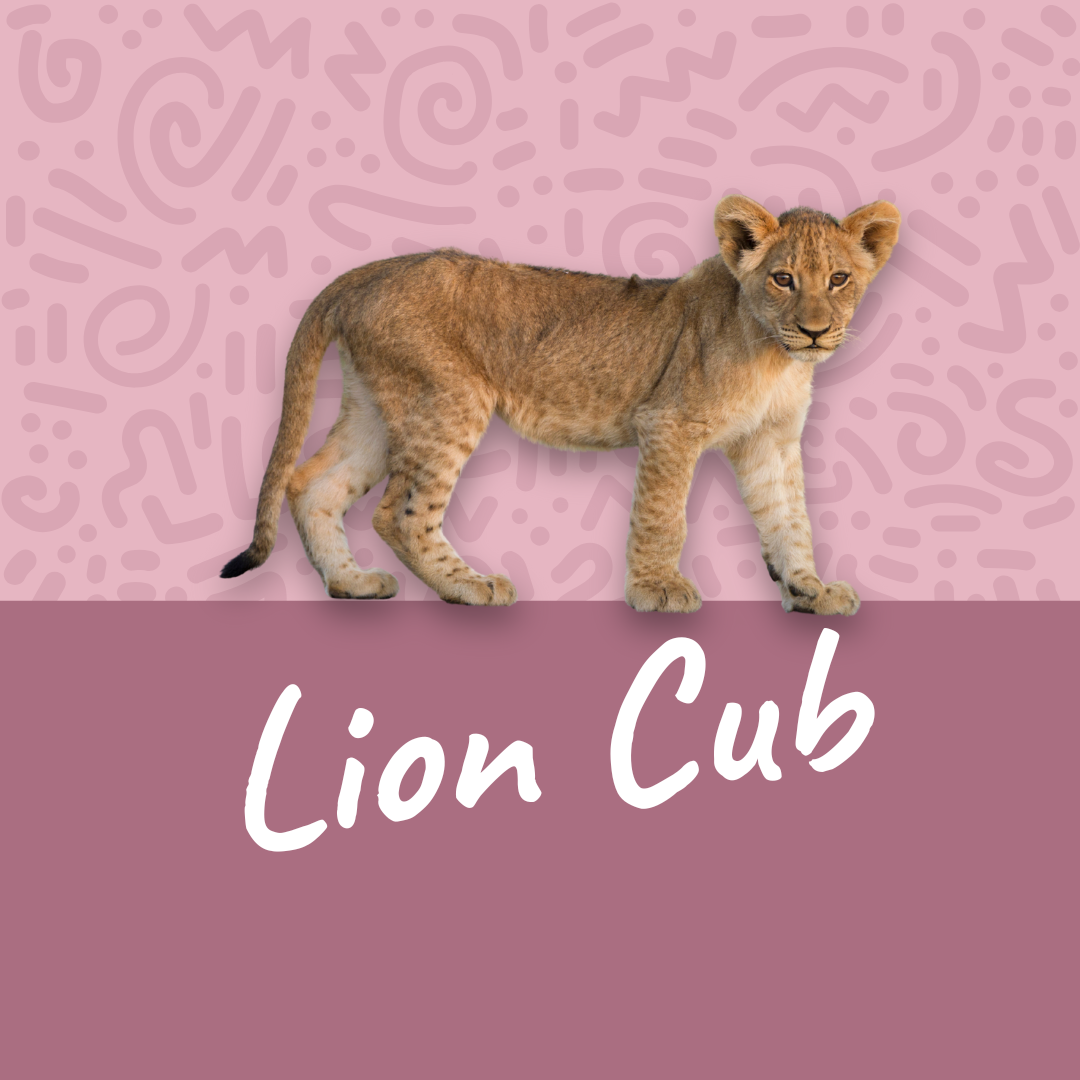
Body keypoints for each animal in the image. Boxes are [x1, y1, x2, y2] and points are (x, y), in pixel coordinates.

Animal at [221, 195, 900, 613]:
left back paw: (351, 583)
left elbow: (789, 518)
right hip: (448, 401)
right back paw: (470, 587)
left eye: (838, 279)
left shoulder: (769, 440)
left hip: (378, 404)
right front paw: (657, 591)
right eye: (783, 279)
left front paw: (809, 590)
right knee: (400, 513)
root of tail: (371, 271)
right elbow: (662, 515)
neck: (776, 358)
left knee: (312, 483)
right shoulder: (669, 424)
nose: (815, 331)